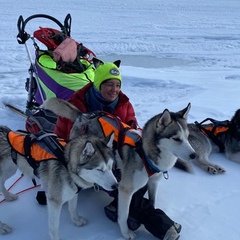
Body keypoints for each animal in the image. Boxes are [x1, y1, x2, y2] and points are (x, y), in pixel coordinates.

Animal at [42, 98, 197, 240]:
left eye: (188, 137)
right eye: (176, 138)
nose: (194, 155)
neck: (144, 153)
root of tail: (84, 115)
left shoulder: (153, 182)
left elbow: (152, 202)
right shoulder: (125, 190)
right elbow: (124, 215)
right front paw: (125, 233)